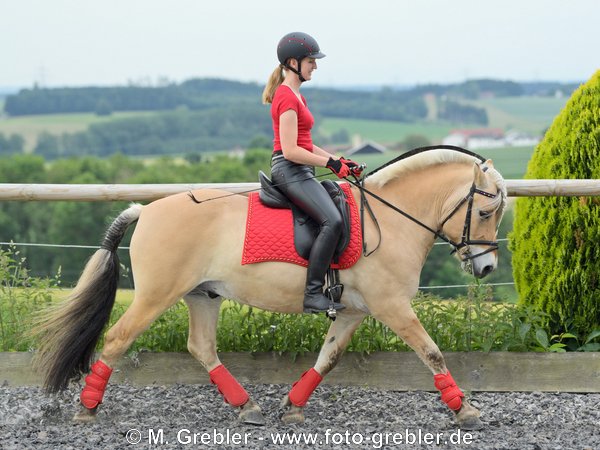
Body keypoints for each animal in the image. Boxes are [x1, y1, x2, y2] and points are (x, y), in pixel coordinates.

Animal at [32, 148, 506, 428]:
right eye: (485, 212)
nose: (485, 267)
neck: (389, 220)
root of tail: (145, 211)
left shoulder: (354, 311)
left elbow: (328, 358)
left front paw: (292, 405)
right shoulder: (391, 306)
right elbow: (432, 352)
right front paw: (466, 409)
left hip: (203, 295)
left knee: (201, 347)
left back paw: (248, 407)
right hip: (155, 296)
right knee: (117, 339)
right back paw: (87, 407)